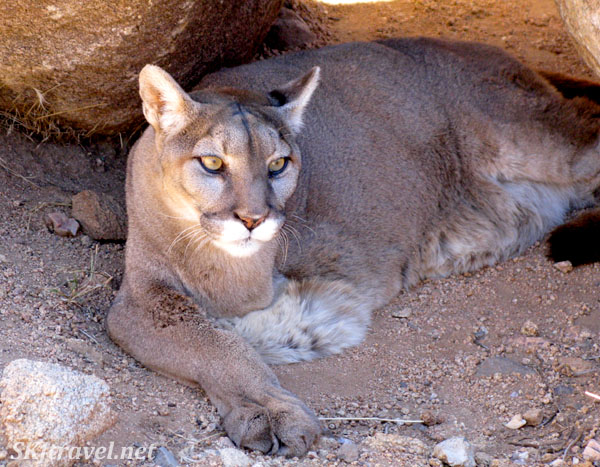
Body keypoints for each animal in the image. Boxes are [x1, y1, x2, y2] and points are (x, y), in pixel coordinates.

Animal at [106, 37, 600, 458]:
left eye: (279, 164)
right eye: (212, 163)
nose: (253, 219)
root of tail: (490, 49)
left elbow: (223, 339)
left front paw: (273, 412)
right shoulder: (138, 299)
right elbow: (217, 342)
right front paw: (266, 407)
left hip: (538, 142)